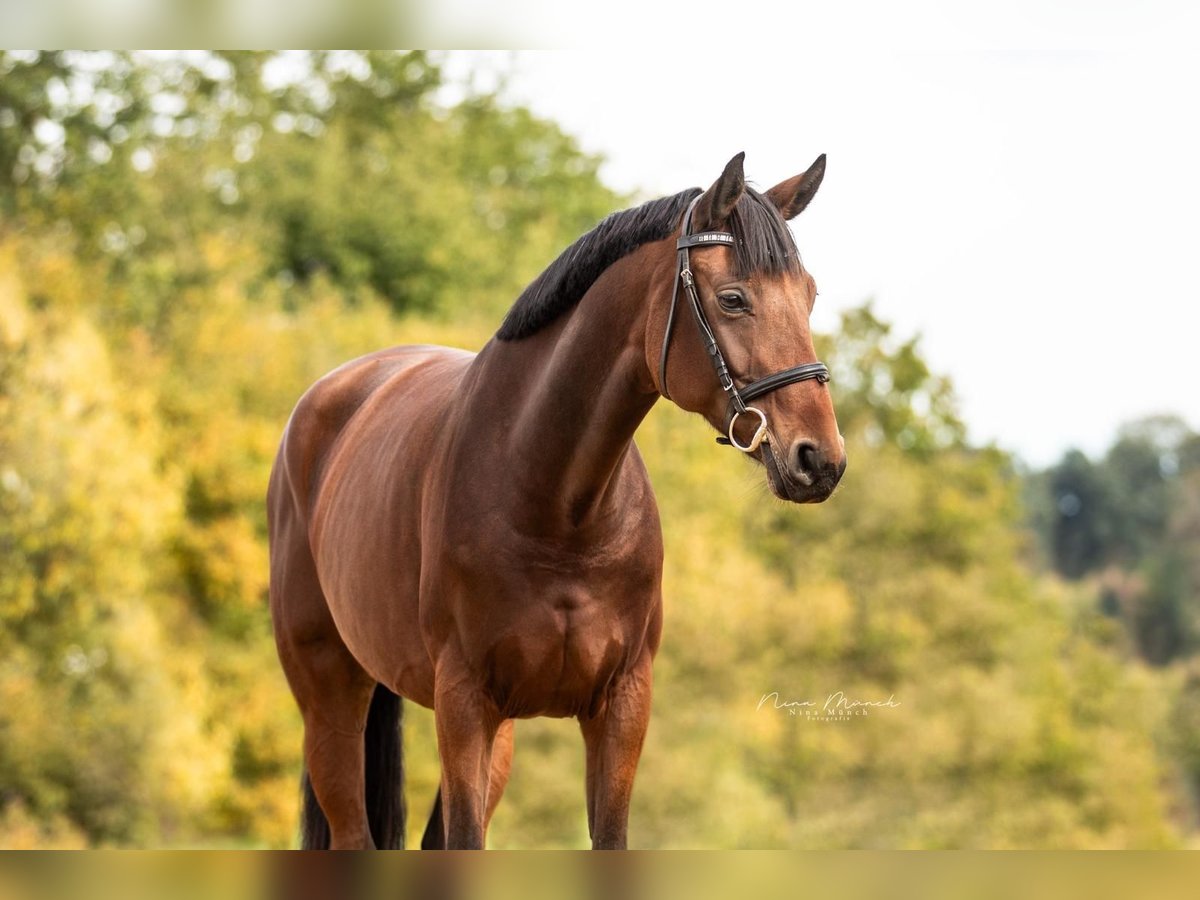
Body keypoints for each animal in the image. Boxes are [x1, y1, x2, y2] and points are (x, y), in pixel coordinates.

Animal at [265, 151, 844, 849]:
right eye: (733, 299)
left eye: (809, 296)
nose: (820, 458)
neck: (557, 507)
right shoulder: (465, 702)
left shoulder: (621, 705)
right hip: (331, 701)